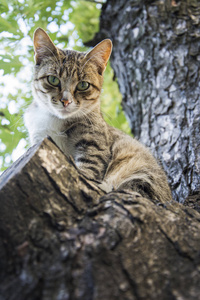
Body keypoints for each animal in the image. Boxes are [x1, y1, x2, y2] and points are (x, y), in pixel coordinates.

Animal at [23, 28, 172, 203]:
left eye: (83, 85)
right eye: (53, 79)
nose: (65, 101)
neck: (56, 120)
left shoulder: (95, 144)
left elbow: (89, 168)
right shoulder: (40, 137)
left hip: (143, 172)